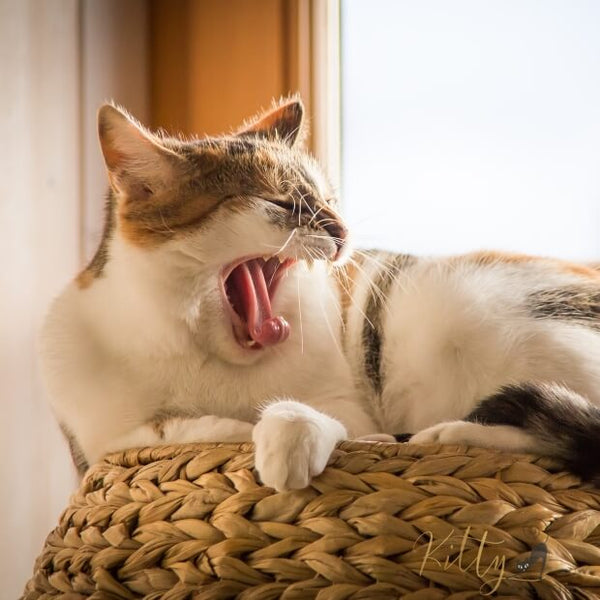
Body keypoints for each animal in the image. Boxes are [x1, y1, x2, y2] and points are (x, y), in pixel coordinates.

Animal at [39, 98, 600, 492]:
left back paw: (447, 434)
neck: (201, 353)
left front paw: (286, 441)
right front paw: (233, 428)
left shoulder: (348, 406)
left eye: (329, 199)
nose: (344, 230)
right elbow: (160, 431)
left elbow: (303, 414)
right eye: (278, 202)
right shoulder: (97, 444)